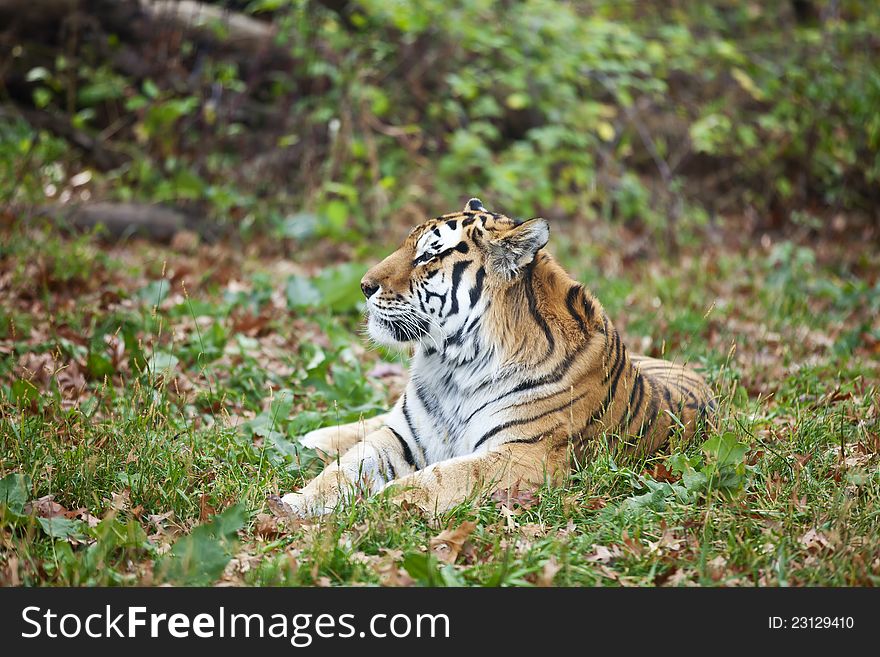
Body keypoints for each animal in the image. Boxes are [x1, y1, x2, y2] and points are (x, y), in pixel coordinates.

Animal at [276, 197, 716, 516]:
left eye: (427, 256)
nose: (364, 286)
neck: (452, 366)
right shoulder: (403, 435)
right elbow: (347, 466)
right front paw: (295, 504)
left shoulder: (525, 454)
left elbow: (440, 477)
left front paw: (380, 504)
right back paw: (315, 438)